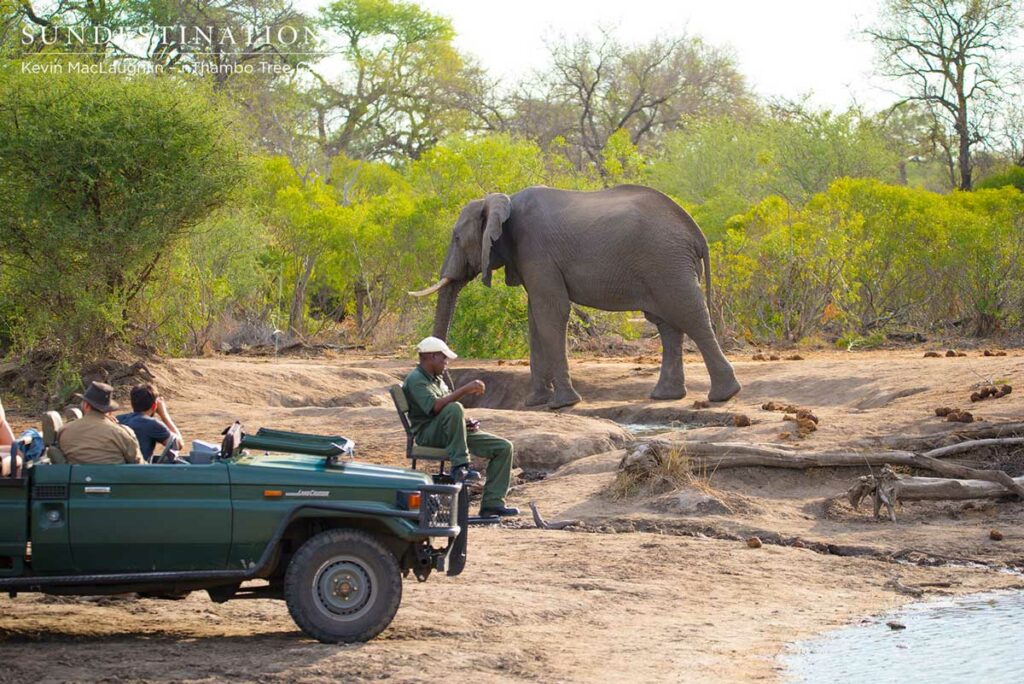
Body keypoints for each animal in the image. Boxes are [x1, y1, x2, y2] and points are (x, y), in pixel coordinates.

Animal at [409, 185, 741, 409]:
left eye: (456, 238)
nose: (449, 385)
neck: (502, 199)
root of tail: (696, 233)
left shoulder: (536, 250)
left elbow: (551, 313)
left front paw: (562, 404)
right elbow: (536, 318)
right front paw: (535, 403)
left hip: (667, 261)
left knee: (690, 314)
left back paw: (724, 395)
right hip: (665, 263)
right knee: (667, 323)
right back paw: (666, 396)